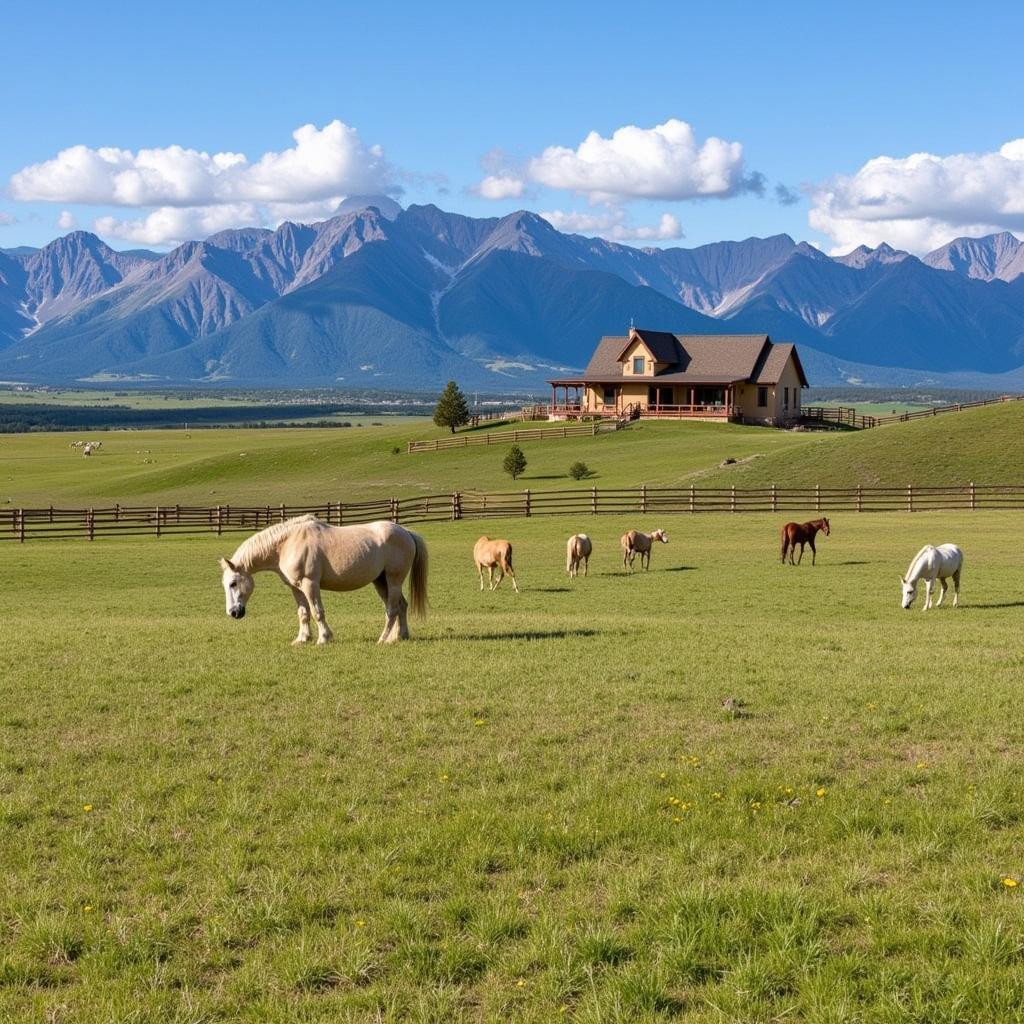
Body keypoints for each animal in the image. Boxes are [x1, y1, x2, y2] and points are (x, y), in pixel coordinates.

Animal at [220, 516, 428, 643]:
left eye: (233, 583)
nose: (233, 613)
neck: (288, 543)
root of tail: (406, 532)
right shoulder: (296, 588)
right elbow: (303, 613)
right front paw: (302, 639)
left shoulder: (310, 584)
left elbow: (317, 611)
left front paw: (324, 638)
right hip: (381, 581)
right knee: (401, 606)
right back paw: (399, 636)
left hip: (393, 580)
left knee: (392, 609)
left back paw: (383, 639)